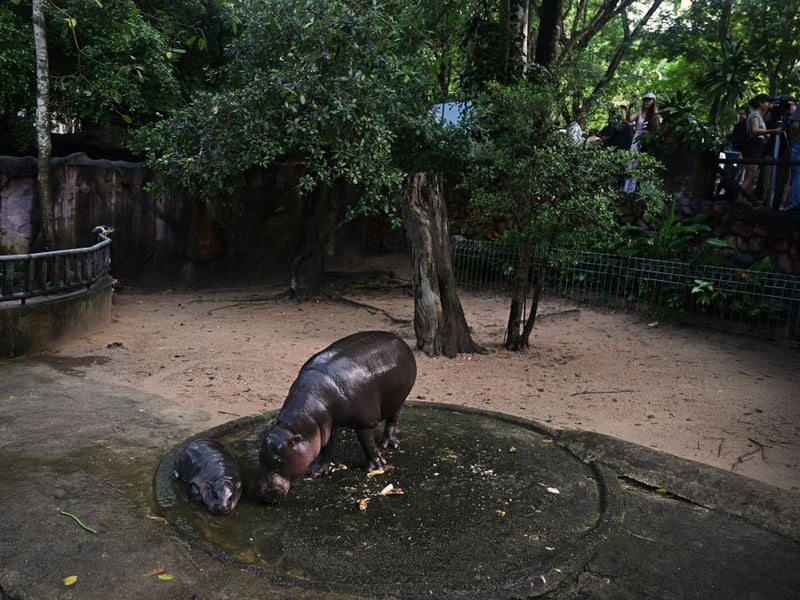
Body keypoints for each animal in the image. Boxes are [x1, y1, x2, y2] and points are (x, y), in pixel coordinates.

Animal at [253, 331, 417, 504]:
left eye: (278, 462)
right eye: (259, 454)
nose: (260, 494)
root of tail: (398, 339)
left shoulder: (364, 423)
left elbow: (367, 444)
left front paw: (377, 465)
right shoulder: (323, 427)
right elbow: (325, 446)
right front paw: (317, 470)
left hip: (398, 399)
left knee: (393, 419)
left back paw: (388, 444)